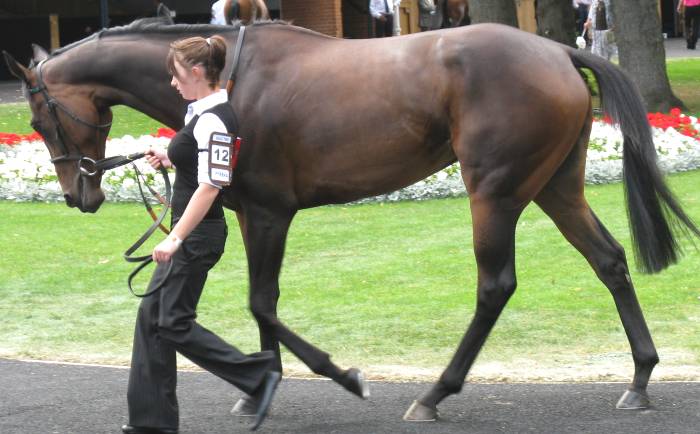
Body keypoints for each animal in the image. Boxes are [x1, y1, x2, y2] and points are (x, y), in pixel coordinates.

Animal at [4, 18, 698, 422]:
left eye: (39, 117)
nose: (79, 194)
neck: (233, 79)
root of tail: (558, 52)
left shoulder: (269, 212)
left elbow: (261, 303)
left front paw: (332, 376)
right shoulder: (257, 216)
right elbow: (264, 304)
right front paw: (258, 388)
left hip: (496, 191)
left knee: (495, 285)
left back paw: (434, 394)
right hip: (555, 184)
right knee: (609, 260)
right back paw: (639, 377)